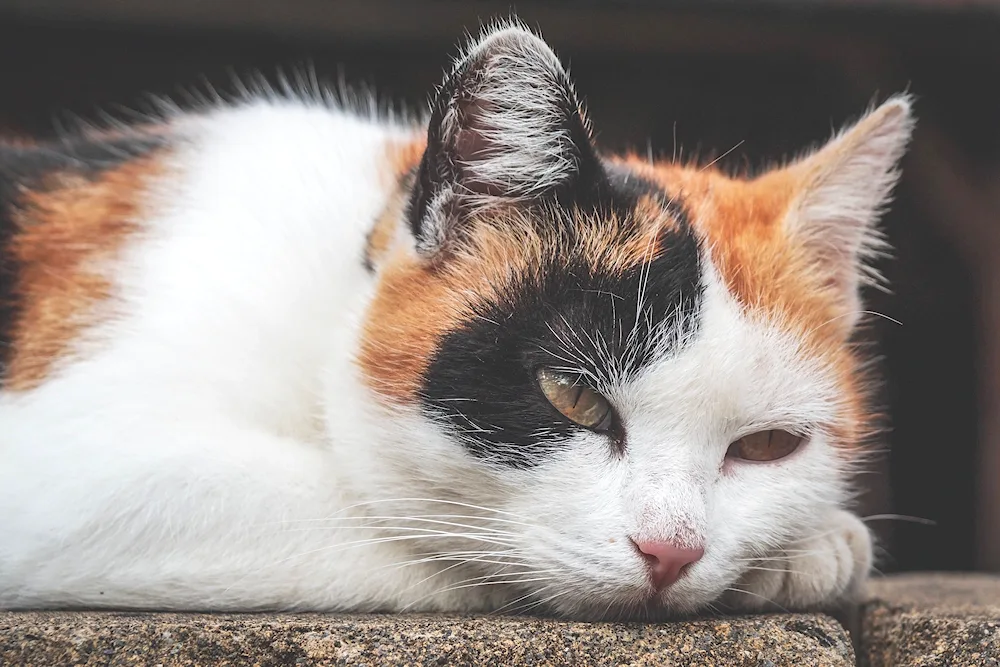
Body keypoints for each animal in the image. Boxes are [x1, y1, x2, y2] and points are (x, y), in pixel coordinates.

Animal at [0, 24, 912, 620]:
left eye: (768, 445)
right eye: (572, 397)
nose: (672, 551)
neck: (333, 287)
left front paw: (805, 547)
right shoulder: (75, 468)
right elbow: (414, 520)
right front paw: (823, 548)